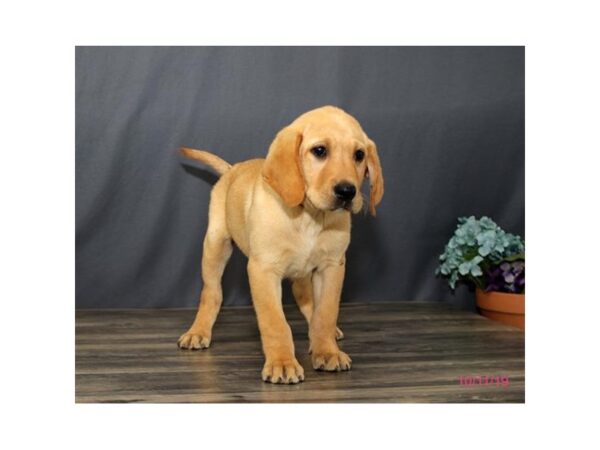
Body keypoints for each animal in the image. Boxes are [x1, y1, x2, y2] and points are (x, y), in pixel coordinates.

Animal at [178, 105, 384, 384]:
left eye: (359, 155)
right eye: (320, 151)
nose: (347, 191)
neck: (309, 216)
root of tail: (232, 169)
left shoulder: (332, 266)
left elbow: (326, 313)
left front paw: (327, 351)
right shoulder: (263, 270)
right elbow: (275, 323)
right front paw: (282, 363)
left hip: (303, 271)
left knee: (305, 298)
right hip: (215, 245)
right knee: (211, 293)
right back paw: (198, 331)